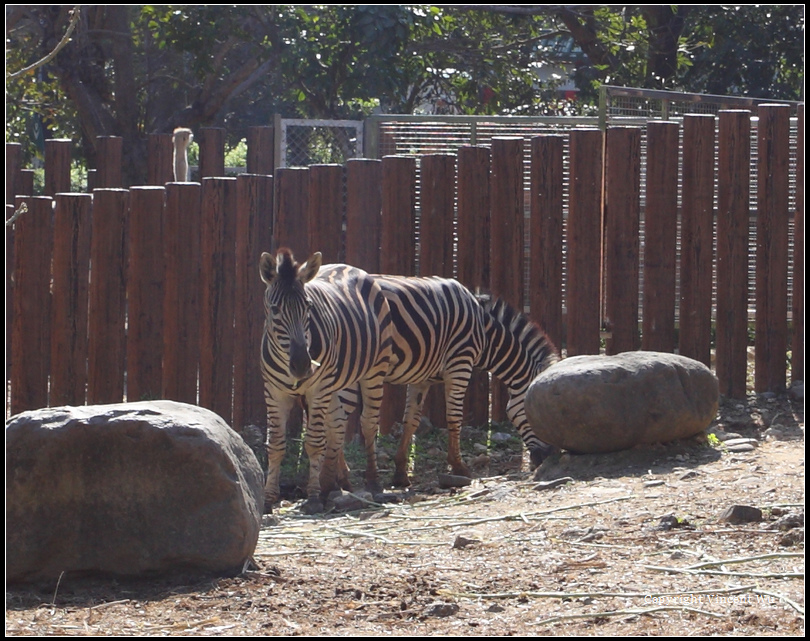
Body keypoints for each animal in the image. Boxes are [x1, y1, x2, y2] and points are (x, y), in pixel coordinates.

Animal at [258, 248, 392, 512]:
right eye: (275, 309)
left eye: (308, 307)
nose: (302, 365)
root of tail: (348, 266)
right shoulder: (273, 392)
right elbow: (275, 444)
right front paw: (268, 499)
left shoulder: (317, 389)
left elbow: (313, 442)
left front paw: (312, 497)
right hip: (338, 383)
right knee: (336, 424)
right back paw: (333, 482)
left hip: (374, 371)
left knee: (368, 424)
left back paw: (372, 482)